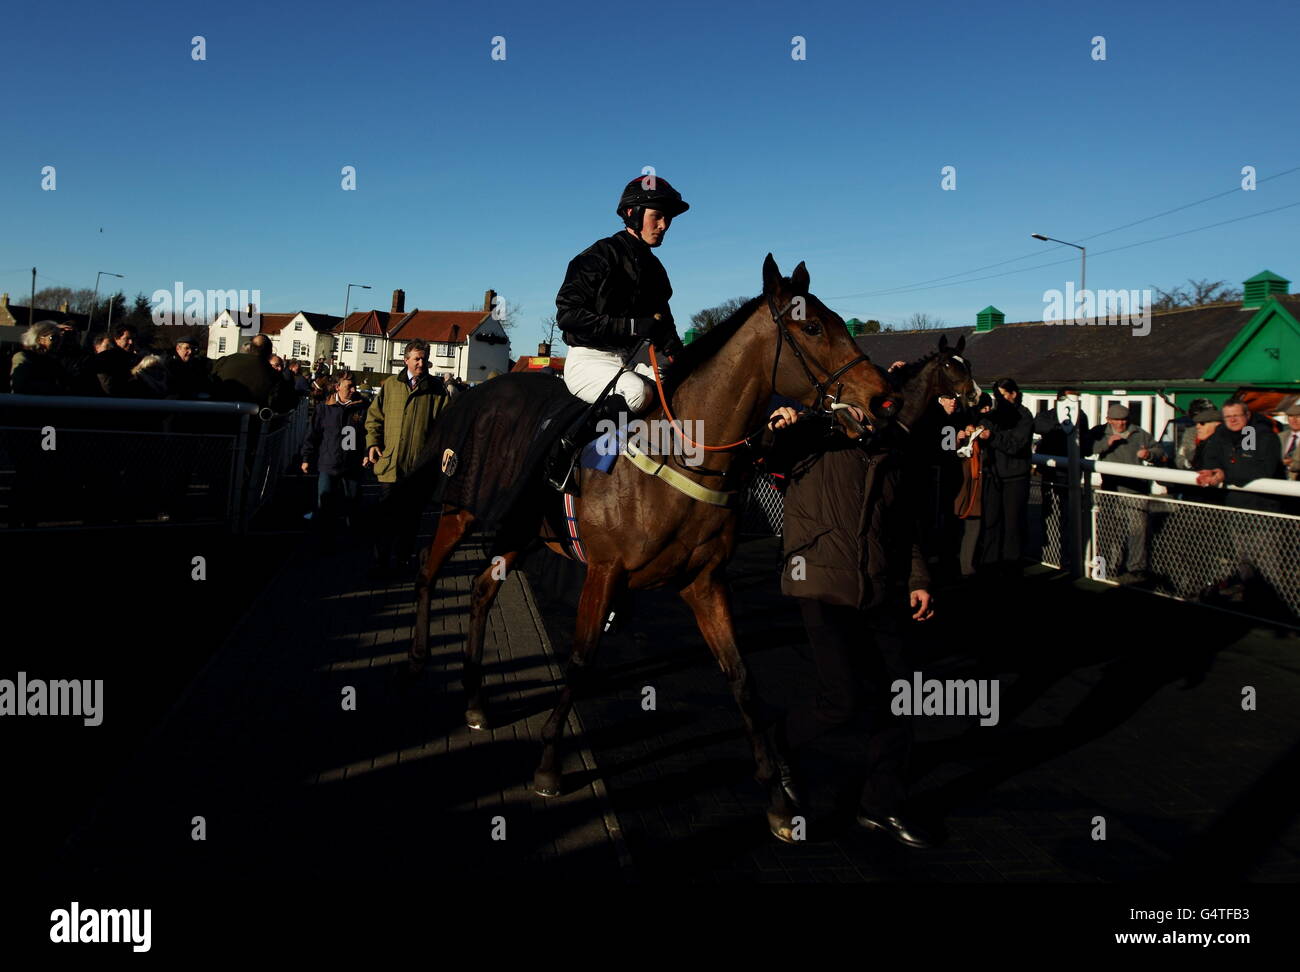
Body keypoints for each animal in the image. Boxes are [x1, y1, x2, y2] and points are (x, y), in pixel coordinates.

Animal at [405, 254, 894, 816]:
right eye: (812, 327)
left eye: (838, 320)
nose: (882, 397)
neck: (681, 453)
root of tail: (475, 394)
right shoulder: (604, 571)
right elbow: (580, 661)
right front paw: (549, 763)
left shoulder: (704, 581)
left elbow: (740, 675)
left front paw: (776, 792)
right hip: (461, 508)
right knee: (428, 570)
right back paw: (419, 657)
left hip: (521, 530)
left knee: (483, 590)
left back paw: (475, 701)